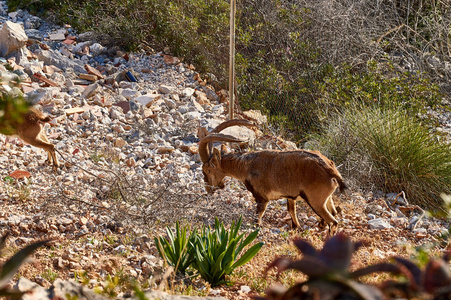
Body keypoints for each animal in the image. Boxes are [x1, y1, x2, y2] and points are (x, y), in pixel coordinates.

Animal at [200, 119, 348, 234]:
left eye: (207, 170)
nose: (208, 189)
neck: (246, 165)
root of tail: (331, 170)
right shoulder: (291, 196)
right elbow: (291, 210)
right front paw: (296, 227)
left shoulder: (262, 197)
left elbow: (259, 215)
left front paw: (257, 227)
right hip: (327, 198)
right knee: (334, 213)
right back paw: (321, 225)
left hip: (315, 200)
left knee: (333, 221)